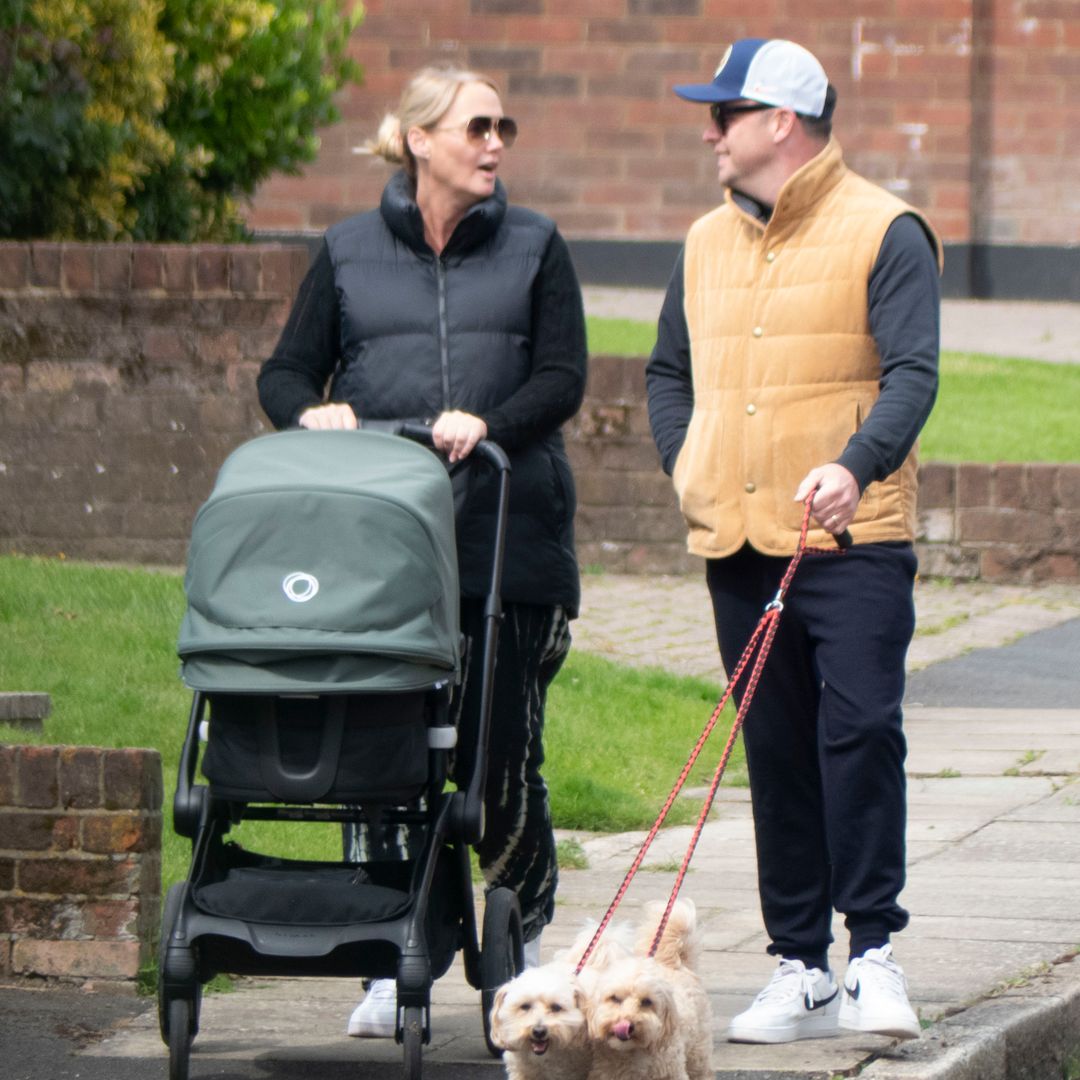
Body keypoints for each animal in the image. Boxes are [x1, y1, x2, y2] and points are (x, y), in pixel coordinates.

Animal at [583, 894, 717, 1080]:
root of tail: (675, 965)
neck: (631, 1053)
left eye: (647, 1001)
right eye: (614, 998)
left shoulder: (672, 1072)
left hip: (698, 1051)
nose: (626, 1024)